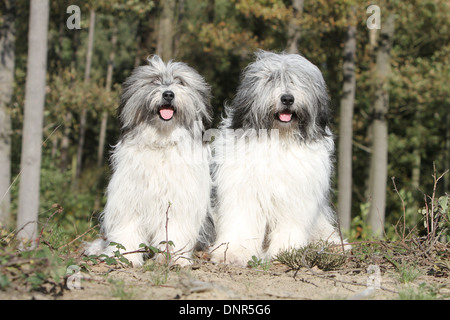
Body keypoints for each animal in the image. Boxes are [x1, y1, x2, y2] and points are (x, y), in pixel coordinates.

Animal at [86, 55, 216, 268]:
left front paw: (175, 259)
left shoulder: (179, 201)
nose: (168, 94)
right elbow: (127, 229)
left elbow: (175, 231)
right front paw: (125, 256)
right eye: (154, 81)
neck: (162, 140)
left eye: (180, 82)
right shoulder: (129, 197)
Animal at [211, 50, 344, 266]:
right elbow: (241, 222)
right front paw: (233, 253)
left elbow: (290, 226)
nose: (288, 99)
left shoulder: (295, 196)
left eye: (297, 81)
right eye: (271, 79)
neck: (279, 136)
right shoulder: (243, 190)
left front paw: (286, 252)